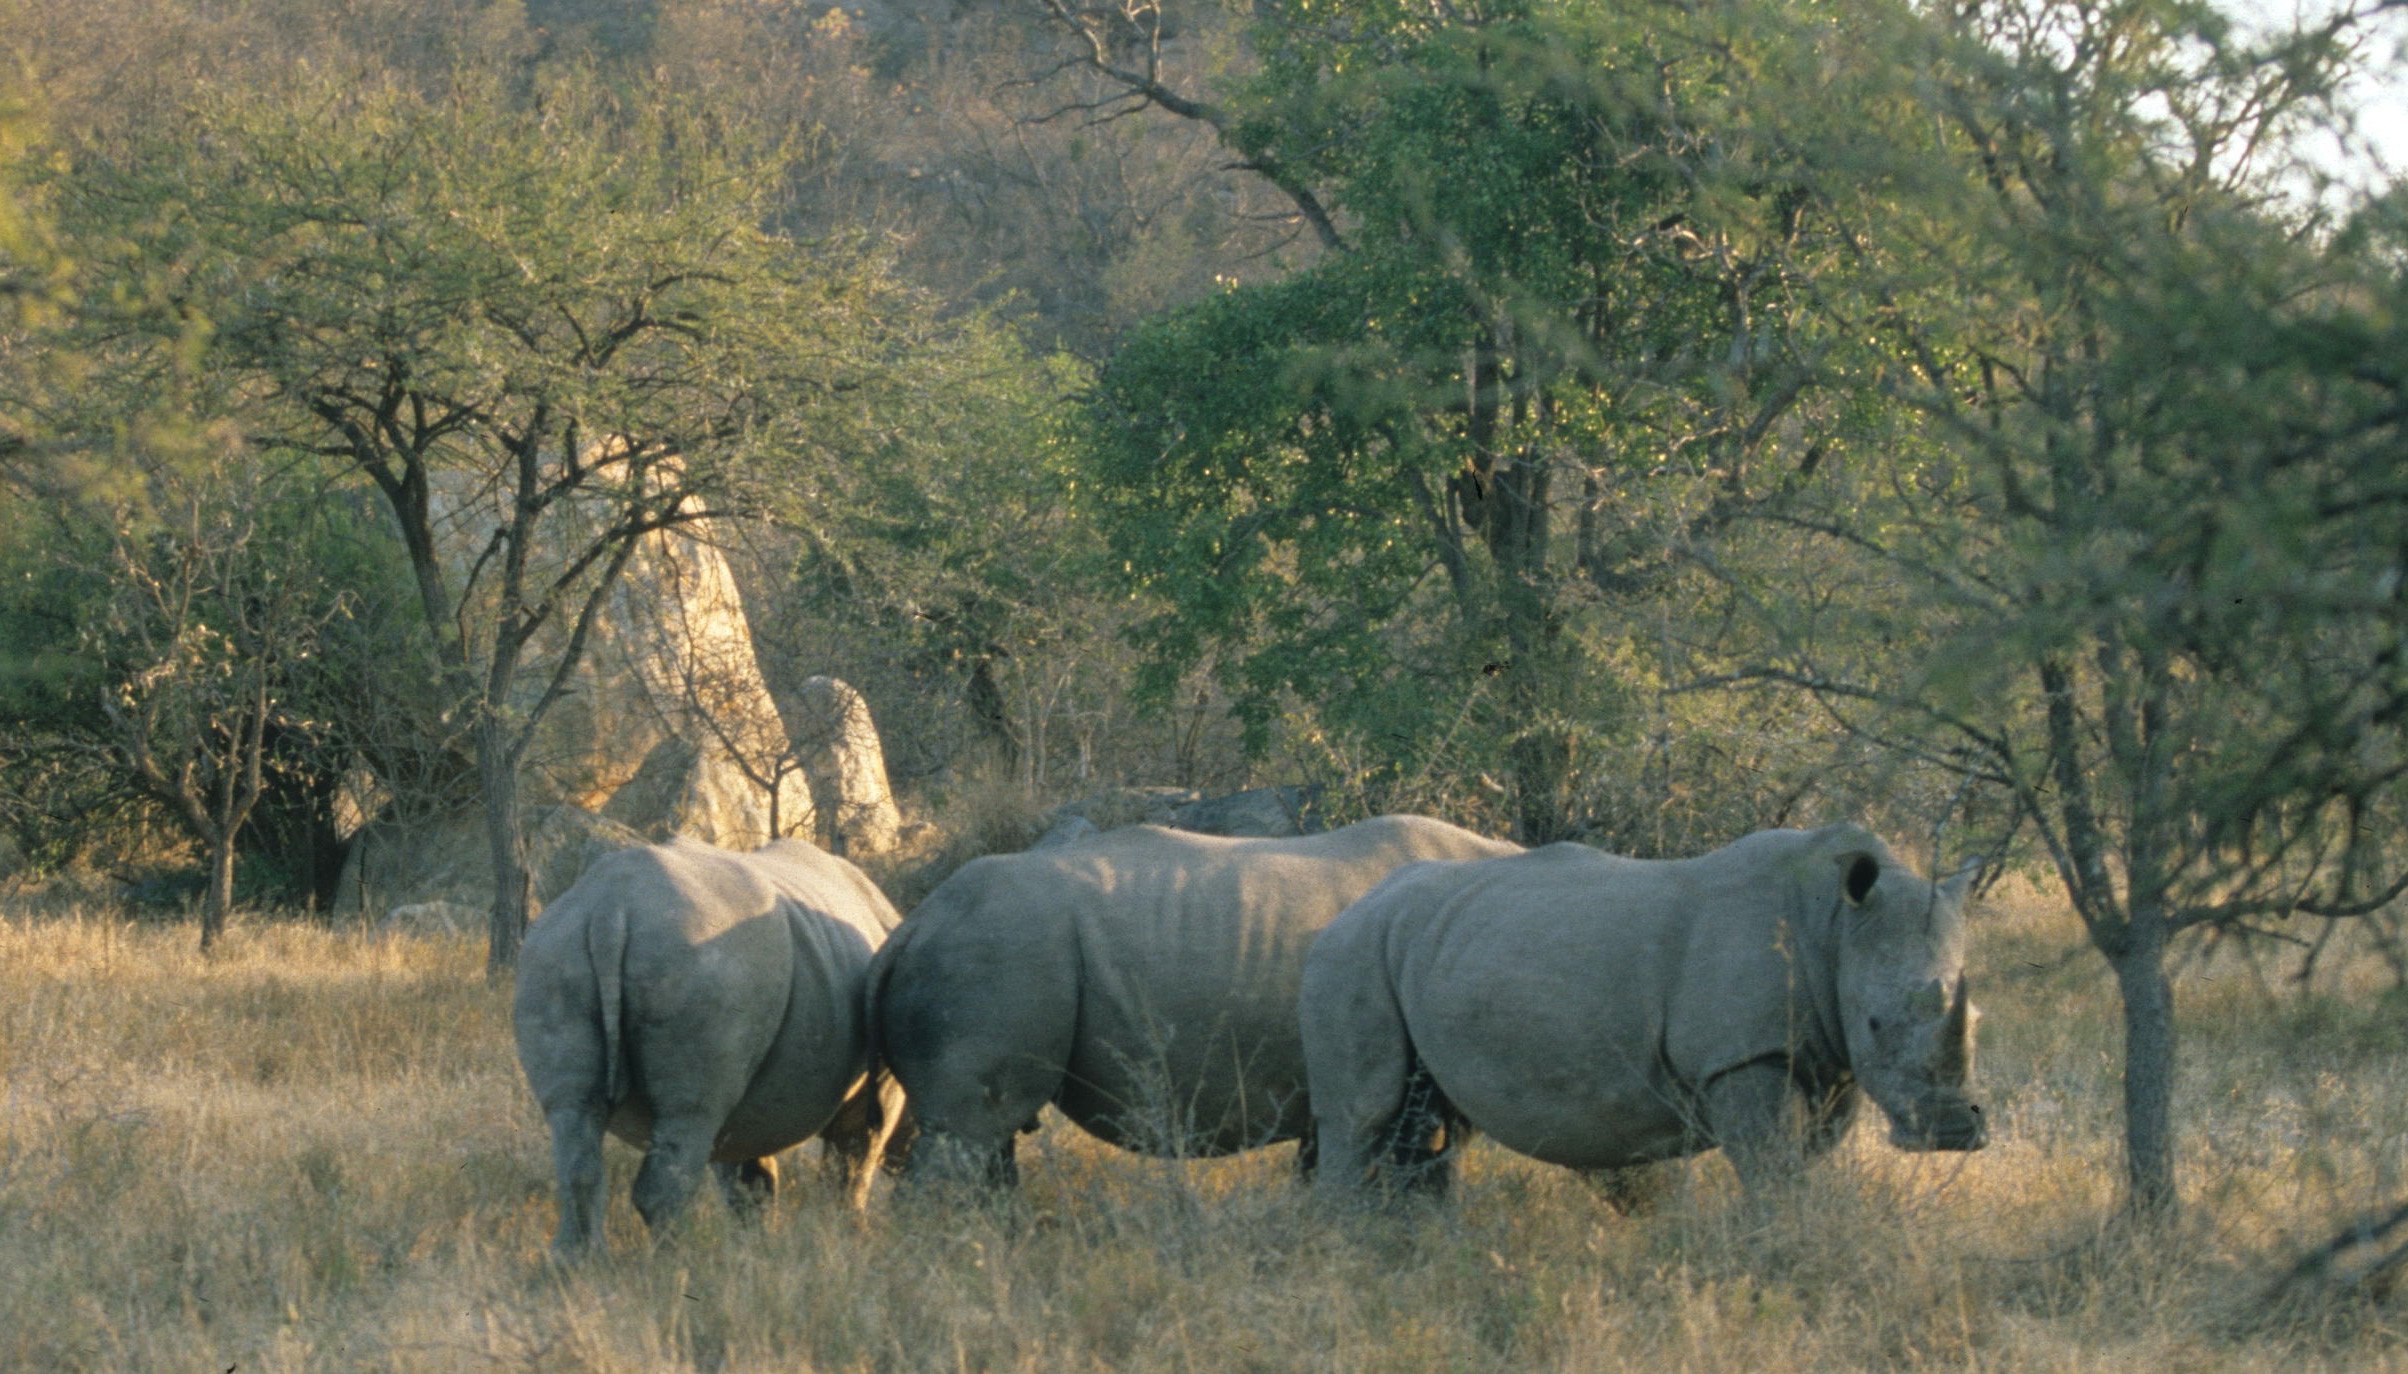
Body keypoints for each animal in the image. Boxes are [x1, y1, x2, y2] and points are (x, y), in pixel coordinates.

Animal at [513, 836, 906, 1257]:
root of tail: (610, 909)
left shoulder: (751, 1102)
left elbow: (749, 1175)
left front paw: (754, 1245)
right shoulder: (878, 1084)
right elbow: (853, 1164)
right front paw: (851, 1236)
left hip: (556, 953)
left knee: (573, 1115)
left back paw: (578, 1262)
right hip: (698, 960)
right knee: (691, 1114)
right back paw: (676, 1260)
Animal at [1301, 823, 1985, 1205]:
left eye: (1977, 1021)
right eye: (1875, 1023)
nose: (1953, 1131)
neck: (1836, 926)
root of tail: (1349, 907)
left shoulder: (1826, 1058)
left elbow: (1805, 1160)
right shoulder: (1743, 1053)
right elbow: (1773, 1168)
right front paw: (1782, 1246)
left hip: (1428, 945)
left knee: (1431, 1126)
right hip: (1352, 953)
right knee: (1363, 1117)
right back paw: (1347, 1250)